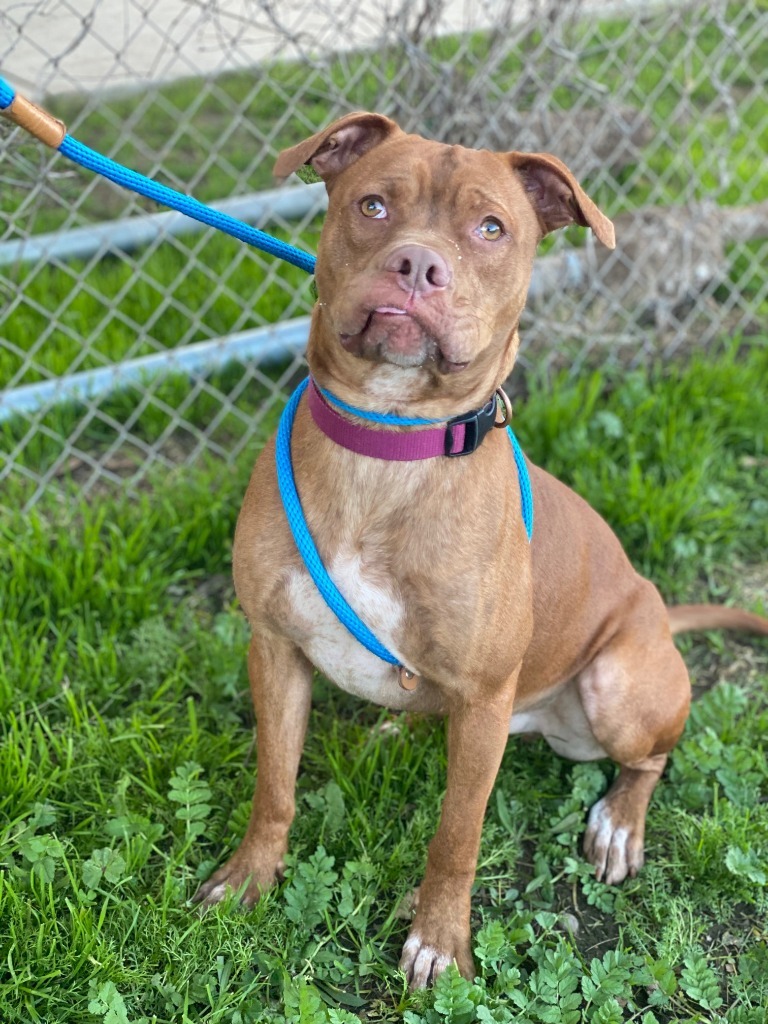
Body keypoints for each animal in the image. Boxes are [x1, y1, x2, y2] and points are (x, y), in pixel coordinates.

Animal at [195, 116, 768, 987]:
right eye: (373, 205)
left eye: (490, 228)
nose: (417, 264)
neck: (388, 447)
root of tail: (661, 611)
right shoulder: (275, 647)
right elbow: (275, 787)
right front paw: (250, 878)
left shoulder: (485, 696)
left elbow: (457, 835)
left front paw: (439, 940)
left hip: (614, 687)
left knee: (650, 761)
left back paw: (618, 827)